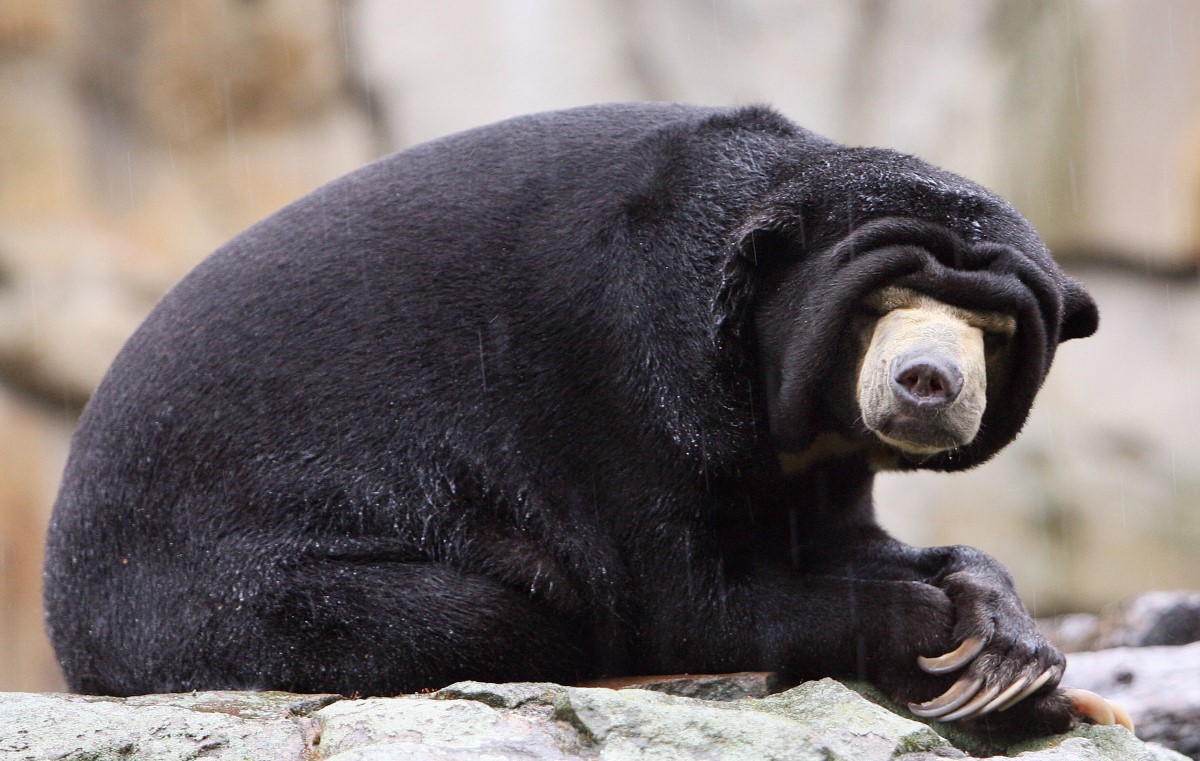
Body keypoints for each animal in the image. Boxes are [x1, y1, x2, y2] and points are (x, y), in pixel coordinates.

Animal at [44, 103, 1124, 736]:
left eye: (992, 329)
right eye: (877, 305)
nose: (927, 383)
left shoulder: (801, 452)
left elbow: (830, 535)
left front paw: (1006, 643)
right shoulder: (623, 375)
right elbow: (686, 596)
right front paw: (939, 635)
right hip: (228, 589)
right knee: (487, 611)